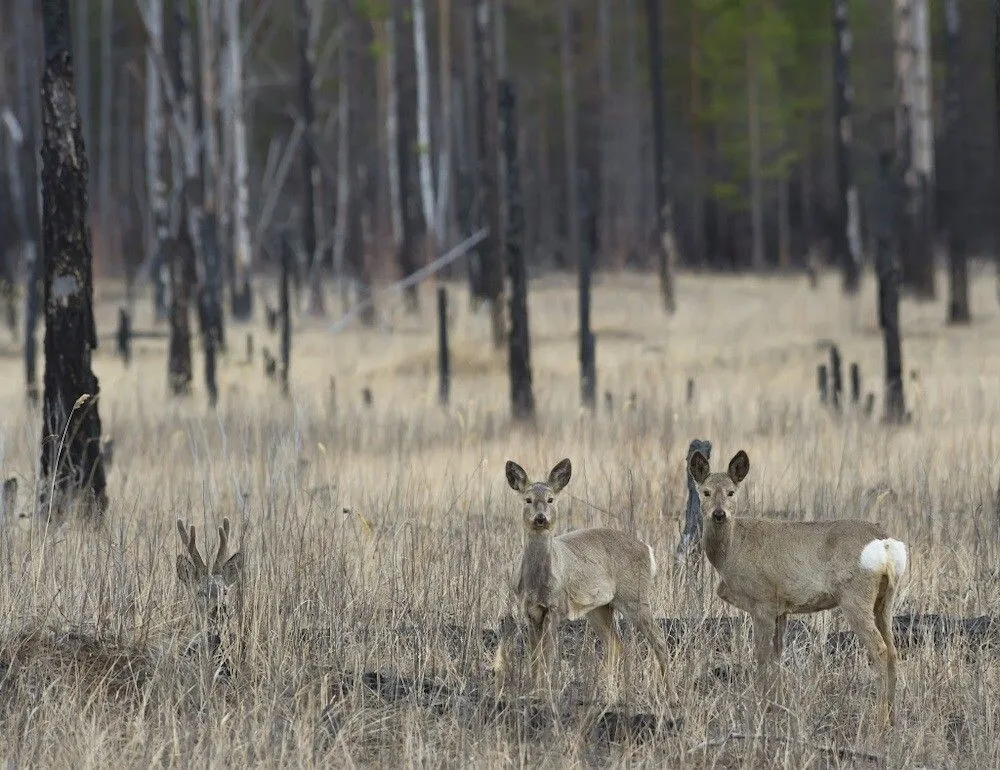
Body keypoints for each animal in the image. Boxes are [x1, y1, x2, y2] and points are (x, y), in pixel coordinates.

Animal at [490, 460, 668, 692]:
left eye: (550, 499)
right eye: (527, 500)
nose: (541, 518)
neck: (538, 582)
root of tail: (647, 549)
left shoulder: (555, 607)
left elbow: (547, 655)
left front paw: (544, 690)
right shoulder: (529, 610)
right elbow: (534, 656)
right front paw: (533, 688)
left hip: (635, 595)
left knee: (659, 640)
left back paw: (669, 691)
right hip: (599, 607)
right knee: (615, 645)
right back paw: (603, 687)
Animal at [688, 448, 908, 724]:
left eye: (731, 492)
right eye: (706, 492)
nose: (719, 514)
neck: (732, 551)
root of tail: (885, 543)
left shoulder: (762, 601)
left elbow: (762, 657)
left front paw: (761, 709)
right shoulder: (781, 608)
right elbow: (777, 656)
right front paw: (777, 707)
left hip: (855, 597)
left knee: (879, 649)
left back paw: (878, 723)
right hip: (885, 599)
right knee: (893, 651)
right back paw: (893, 719)